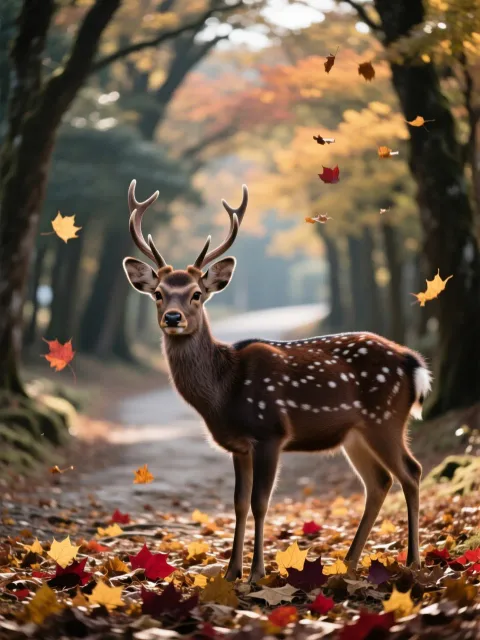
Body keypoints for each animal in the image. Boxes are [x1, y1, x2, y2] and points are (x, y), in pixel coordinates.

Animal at [123, 180, 432, 583]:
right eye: (158, 294)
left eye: (197, 294)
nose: (173, 317)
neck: (223, 392)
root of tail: (413, 363)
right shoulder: (238, 445)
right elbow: (238, 503)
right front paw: (231, 573)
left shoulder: (269, 432)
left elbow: (260, 502)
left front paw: (256, 573)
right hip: (356, 434)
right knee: (379, 481)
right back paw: (347, 562)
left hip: (386, 418)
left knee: (411, 472)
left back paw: (413, 561)